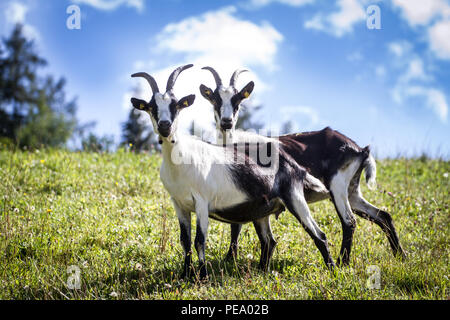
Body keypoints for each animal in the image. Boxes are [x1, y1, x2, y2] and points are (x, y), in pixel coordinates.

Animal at [132, 64, 336, 278]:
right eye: (151, 107)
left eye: (175, 105)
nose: (165, 126)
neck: (181, 160)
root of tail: (294, 165)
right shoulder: (179, 204)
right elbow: (185, 241)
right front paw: (185, 274)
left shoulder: (201, 201)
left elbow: (199, 240)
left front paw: (202, 276)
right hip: (262, 210)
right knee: (269, 241)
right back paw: (262, 271)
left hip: (294, 197)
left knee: (319, 235)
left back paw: (332, 269)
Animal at [199, 66, 406, 266]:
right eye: (215, 100)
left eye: (237, 101)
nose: (227, 122)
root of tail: (359, 149)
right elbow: (239, 224)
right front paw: (229, 258)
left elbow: (237, 224)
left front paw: (229, 258)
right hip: (352, 191)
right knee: (383, 215)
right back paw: (400, 255)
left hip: (338, 185)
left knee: (349, 221)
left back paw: (343, 262)